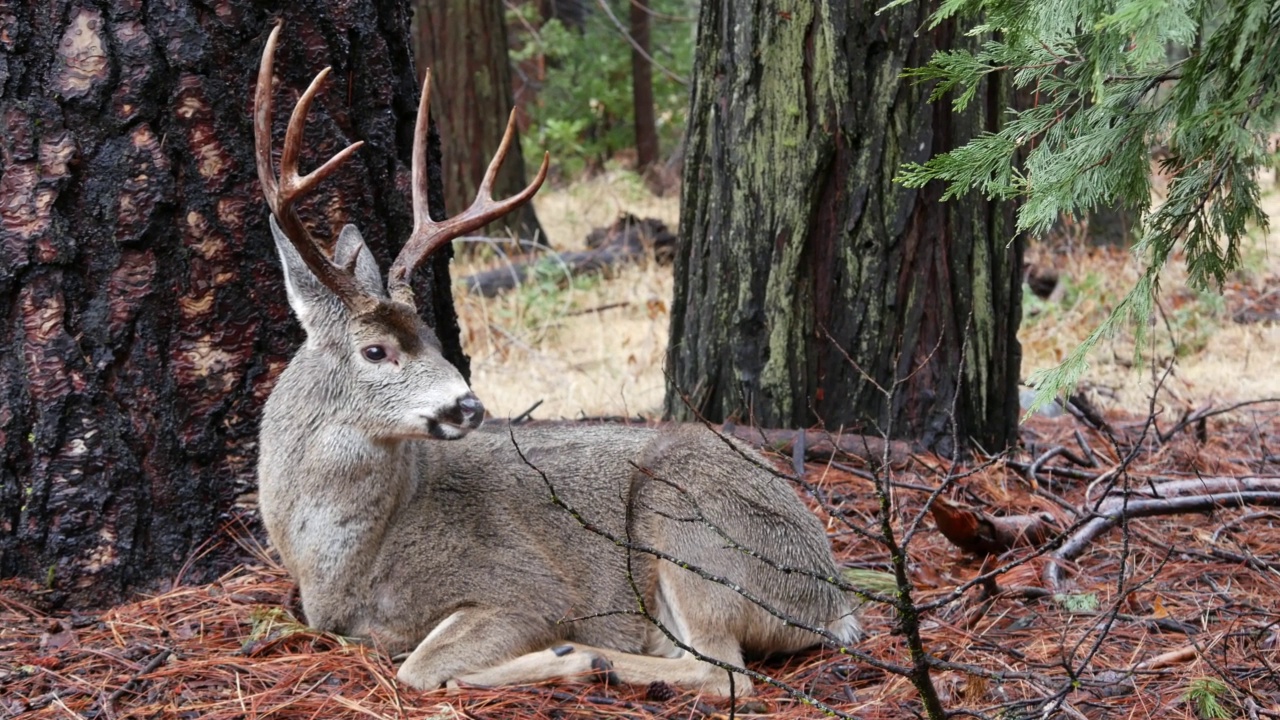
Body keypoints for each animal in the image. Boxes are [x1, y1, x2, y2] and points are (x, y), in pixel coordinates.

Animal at [252, 23, 860, 696]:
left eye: (434, 339)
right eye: (375, 350)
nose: (469, 405)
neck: (345, 564)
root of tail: (834, 599)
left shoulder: (524, 585)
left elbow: (421, 668)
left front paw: (550, 654)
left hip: (693, 525)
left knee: (723, 672)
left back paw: (593, 657)